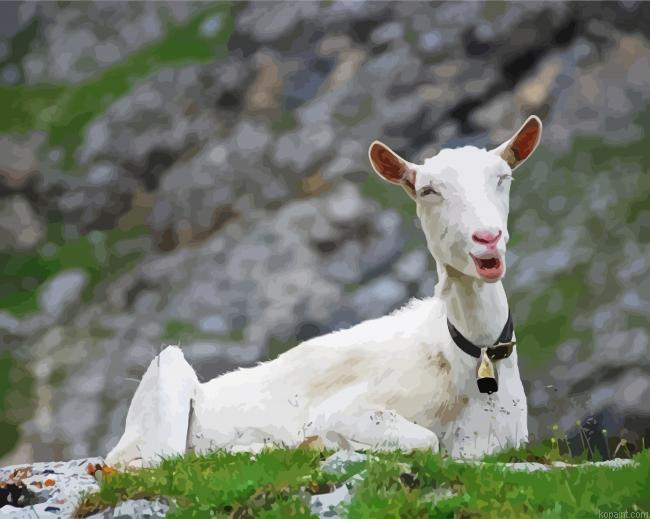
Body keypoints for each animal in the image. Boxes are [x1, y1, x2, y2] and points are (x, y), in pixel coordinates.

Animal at [106, 116, 542, 467]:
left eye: (502, 178)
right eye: (428, 191)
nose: (487, 238)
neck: (469, 358)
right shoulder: (344, 411)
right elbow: (425, 441)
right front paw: (322, 444)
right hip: (166, 372)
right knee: (157, 461)